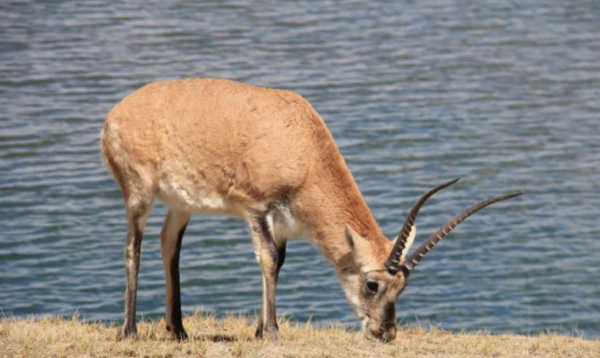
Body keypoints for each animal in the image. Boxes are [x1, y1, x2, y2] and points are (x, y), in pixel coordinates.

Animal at [101, 77, 524, 342]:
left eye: (401, 288)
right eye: (373, 284)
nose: (385, 333)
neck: (301, 146)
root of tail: (114, 115)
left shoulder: (284, 223)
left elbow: (280, 264)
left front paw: (260, 329)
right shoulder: (256, 209)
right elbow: (268, 260)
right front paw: (272, 333)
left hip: (181, 204)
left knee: (168, 244)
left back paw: (178, 330)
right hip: (139, 194)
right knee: (133, 247)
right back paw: (130, 331)